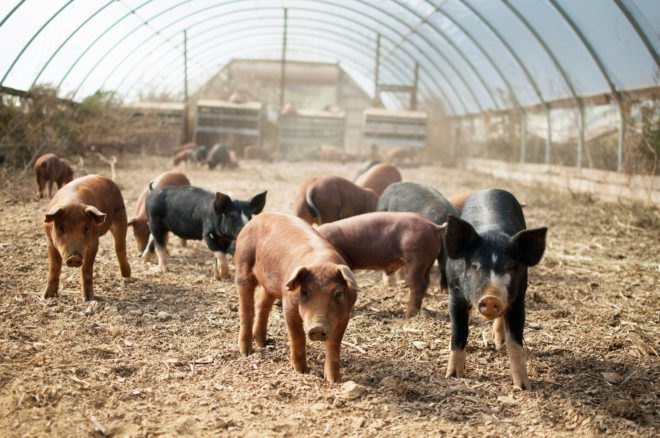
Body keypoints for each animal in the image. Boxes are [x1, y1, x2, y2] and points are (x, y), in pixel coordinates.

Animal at [234, 212, 358, 383]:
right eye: (304, 292)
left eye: (338, 293)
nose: (317, 328)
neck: (321, 262)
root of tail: (258, 217)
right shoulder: (288, 306)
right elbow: (298, 336)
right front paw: (302, 372)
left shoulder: (345, 314)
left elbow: (334, 344)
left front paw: (334, 380)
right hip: (242, 264)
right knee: (246, 309)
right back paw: (247, 352)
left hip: (271, 283)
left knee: (262, 302)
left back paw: (263, 343)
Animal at [443, 189, 547, 390]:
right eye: (475, 265)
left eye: (510, 266)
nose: (491, 298)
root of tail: (491, 189)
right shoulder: (455, 294)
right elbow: (459, 332)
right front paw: (452, 376)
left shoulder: (518, 299)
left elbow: (515, 342)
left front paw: (524, 387)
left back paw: (499, 343)